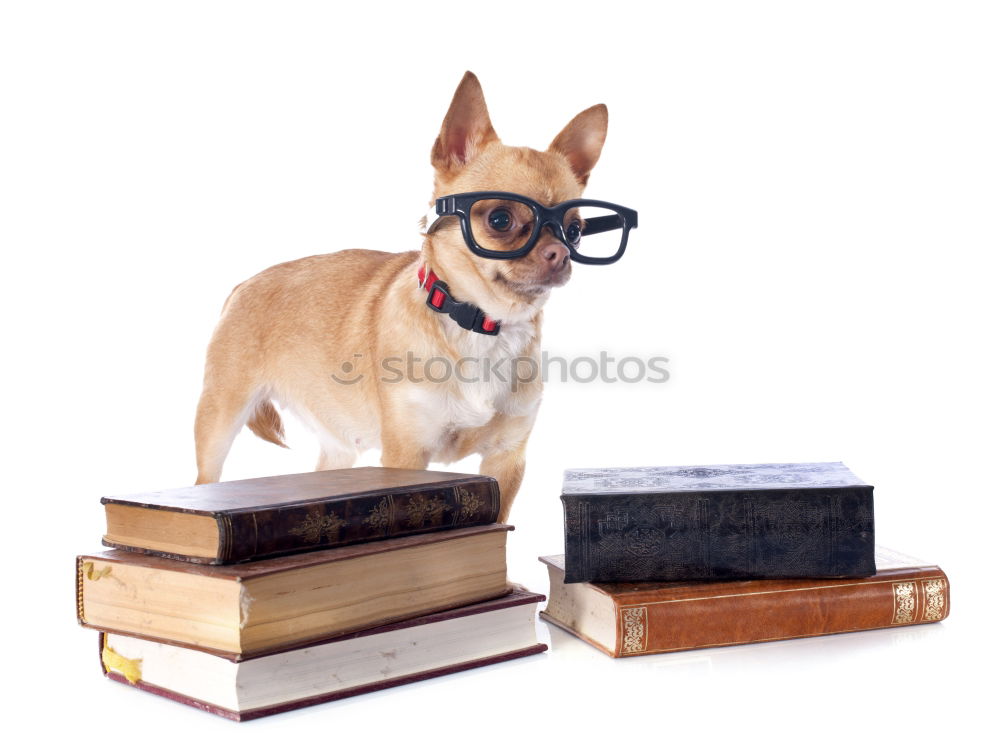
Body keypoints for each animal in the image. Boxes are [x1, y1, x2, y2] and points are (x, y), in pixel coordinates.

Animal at [195, 72, 632, 520]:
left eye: (576, 230)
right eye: (500, 219)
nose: (560, 253)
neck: (481, 325)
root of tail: (243, 285)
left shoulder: (506, 459)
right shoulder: (406, 455)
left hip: (336, 444)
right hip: (220, 419)